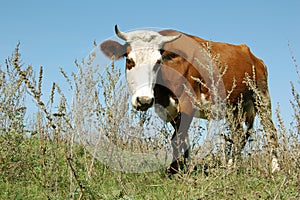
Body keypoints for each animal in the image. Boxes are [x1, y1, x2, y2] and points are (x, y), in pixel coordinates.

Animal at [100, 25, 278, 173]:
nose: (144, 100)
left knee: (271, 132)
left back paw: (275, 169)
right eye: (129, 60)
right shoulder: (171, 110)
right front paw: (182, 168)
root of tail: (253, 56)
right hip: (233, 107)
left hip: (262, 97)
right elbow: (183, 140)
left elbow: (177, 140)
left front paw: (174, 172)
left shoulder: (187, 102)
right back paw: (230, 168)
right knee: (239, 134)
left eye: (158, 61)